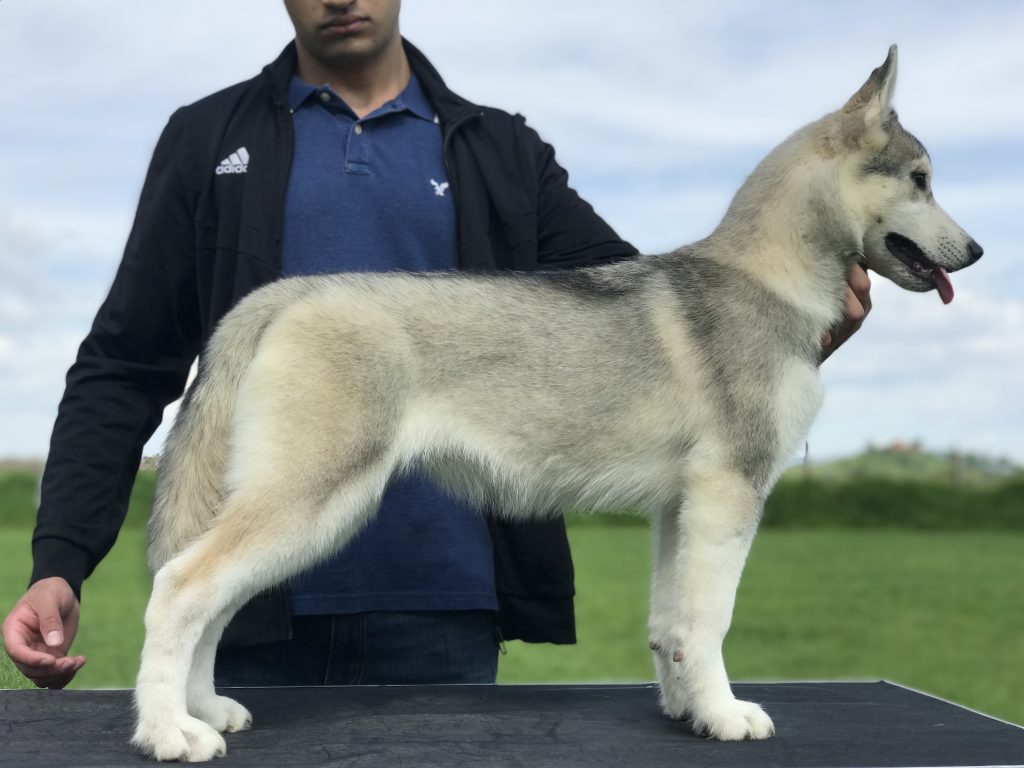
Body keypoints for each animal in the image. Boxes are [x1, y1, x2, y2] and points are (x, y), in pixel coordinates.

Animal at [132, 48, 978, 765]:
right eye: (921, 178)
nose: (975, 252)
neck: (767, 278)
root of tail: (285, 293)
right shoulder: (730, 493)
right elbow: (709, 620)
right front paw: (726, 714)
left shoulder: (680, 507)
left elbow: (671, 625)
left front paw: (688, 711)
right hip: (312, 499)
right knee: (180, 588)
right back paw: (170, 730)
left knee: (208, 600)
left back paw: (203, 707)